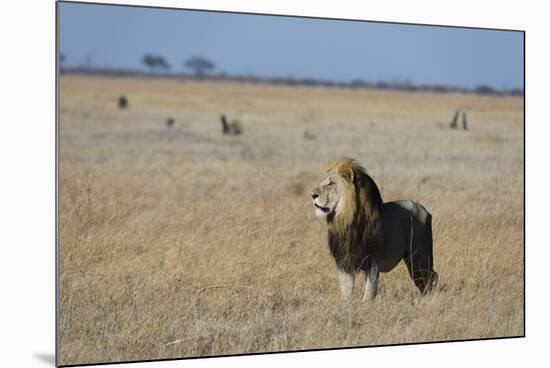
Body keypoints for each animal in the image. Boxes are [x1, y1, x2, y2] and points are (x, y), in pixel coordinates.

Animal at [312, 157, 438, 300]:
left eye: (331, 183)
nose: (312, 195)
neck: (347, 221)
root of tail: (425, 210)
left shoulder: (373, 261)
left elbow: (369, 291)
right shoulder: (344, 261)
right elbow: (346, 290)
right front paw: (346, 303)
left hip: (419, 256)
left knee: (430, 277)